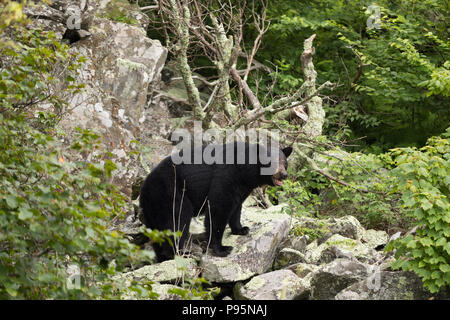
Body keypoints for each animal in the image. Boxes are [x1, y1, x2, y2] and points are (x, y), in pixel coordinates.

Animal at [140, 141, 292, 262]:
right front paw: (222, 248)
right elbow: (218, 210)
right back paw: (181, 252)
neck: (244, 170)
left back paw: (162, 257)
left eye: (285, 163)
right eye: (272, 162)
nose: (284, 175)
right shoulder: (225, 176)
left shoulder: (241, 187)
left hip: (152, 208)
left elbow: (236, 207)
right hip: (171, 194)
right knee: (178, 221)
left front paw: (241, 229)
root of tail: (145, 187)